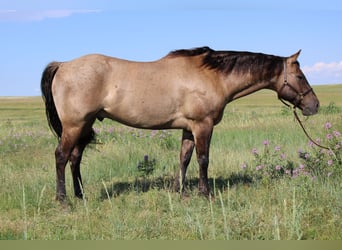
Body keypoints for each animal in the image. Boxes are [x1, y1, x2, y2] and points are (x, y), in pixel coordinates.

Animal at [41, 46, 320, 201]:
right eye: (300, 75)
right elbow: (203, 159)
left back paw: (80, 195)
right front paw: (205, 193)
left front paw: (179, 191)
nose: (314, 105)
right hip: (74, 126)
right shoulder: (202, 126)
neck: (212, 76)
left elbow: (184, 158)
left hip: (84, 126)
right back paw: (63, 199)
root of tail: (63, 65)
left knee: (75, 158)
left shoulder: (188, 128)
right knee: (61, 156)